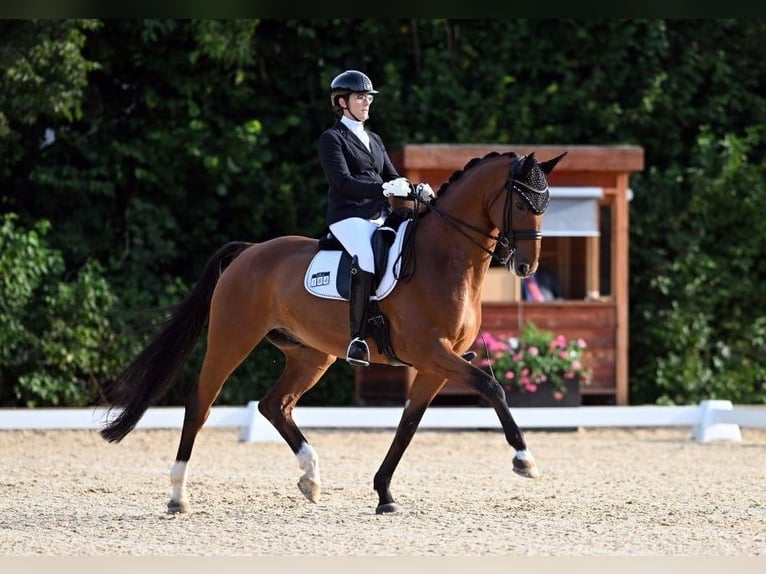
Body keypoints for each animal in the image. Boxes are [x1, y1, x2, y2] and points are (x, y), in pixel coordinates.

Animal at [99, 150, 568, 516]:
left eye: (545, 202)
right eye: (522, 201)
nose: (526, 266)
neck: (444, 259)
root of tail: (249, 251)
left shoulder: (437, 364)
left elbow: (409, 423)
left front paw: (384, 493)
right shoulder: (432, 353)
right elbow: (493, 387)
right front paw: (524, 460)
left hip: (311, 354)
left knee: (275, 405)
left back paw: (311, 478)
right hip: (232, 340)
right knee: (200, 404)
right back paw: (178, 496)